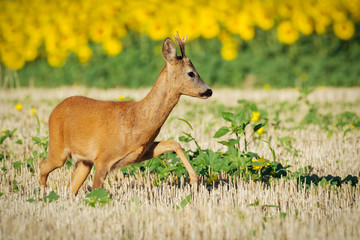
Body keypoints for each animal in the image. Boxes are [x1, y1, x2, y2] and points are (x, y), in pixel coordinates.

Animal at [39, 32, 212, 194]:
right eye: (191, 73)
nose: (209, 91)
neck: (137, 119)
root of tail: (55, 109)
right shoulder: (103, 158)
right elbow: (97, 191)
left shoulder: (142, 151)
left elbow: (173, 143)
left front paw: (194, 182)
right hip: (58, 147)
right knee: (43, 165)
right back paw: (41, 193)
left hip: (84, 161)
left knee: (70, 187)